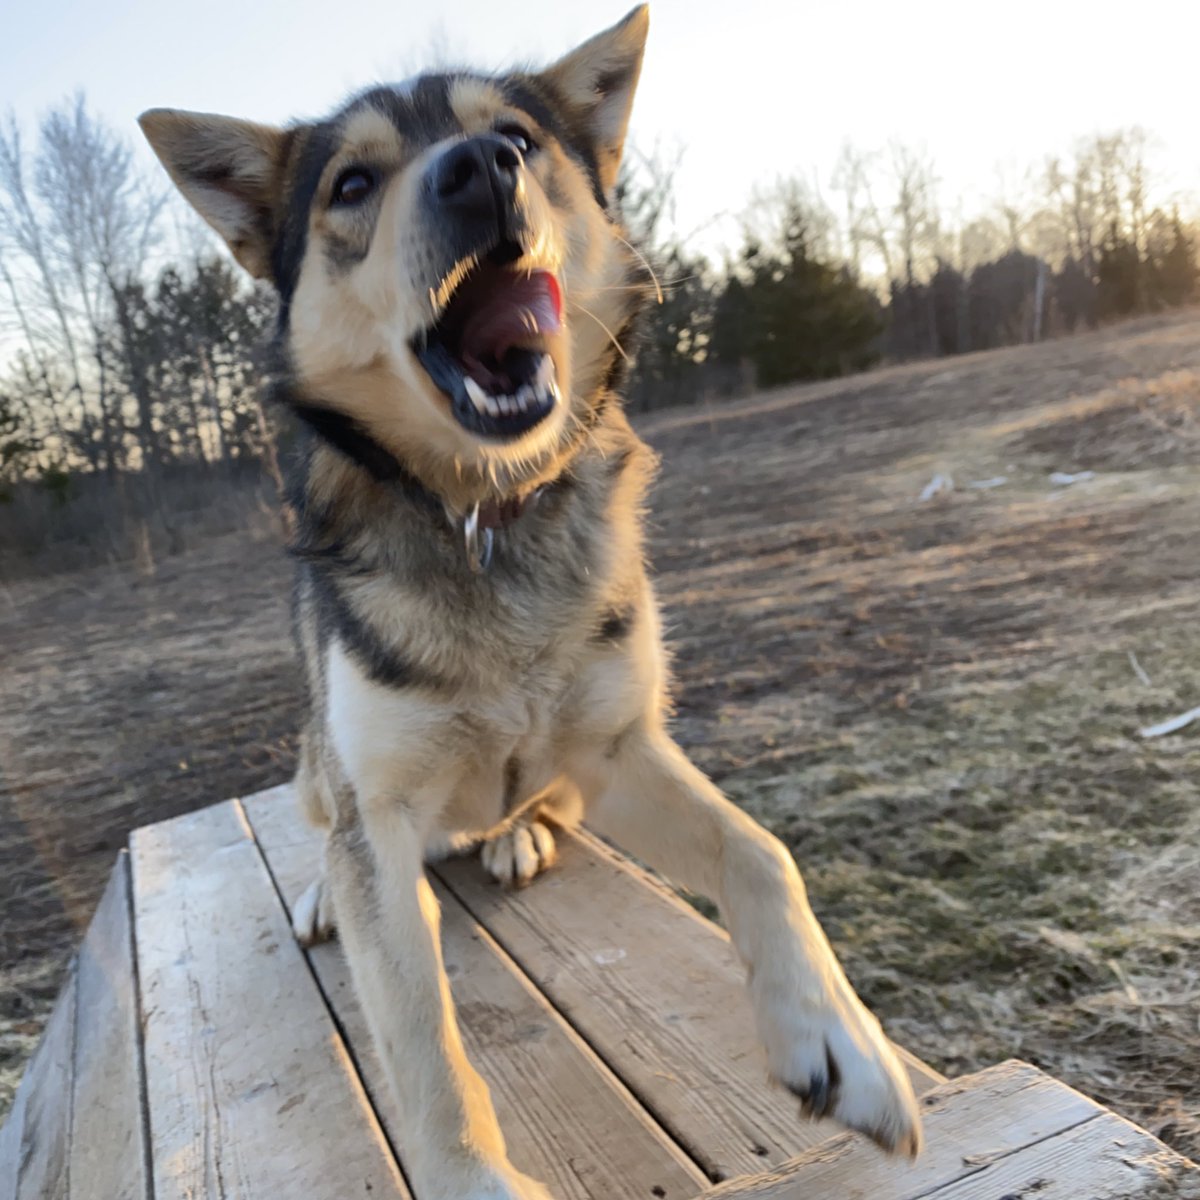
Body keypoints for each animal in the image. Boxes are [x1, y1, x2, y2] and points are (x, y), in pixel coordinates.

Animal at [142, 11, 916, 1200]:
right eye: (353, 182)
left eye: (515, 138)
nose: (476, 171)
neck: (484, 511)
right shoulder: (381, 818)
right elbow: (424, 1038)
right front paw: (471, 1176)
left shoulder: (621, 748)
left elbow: (760, 852)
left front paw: (842, 1043)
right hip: (318, 765)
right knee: (323, 829)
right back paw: (326, 888)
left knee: (549, 804)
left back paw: (520, 833)